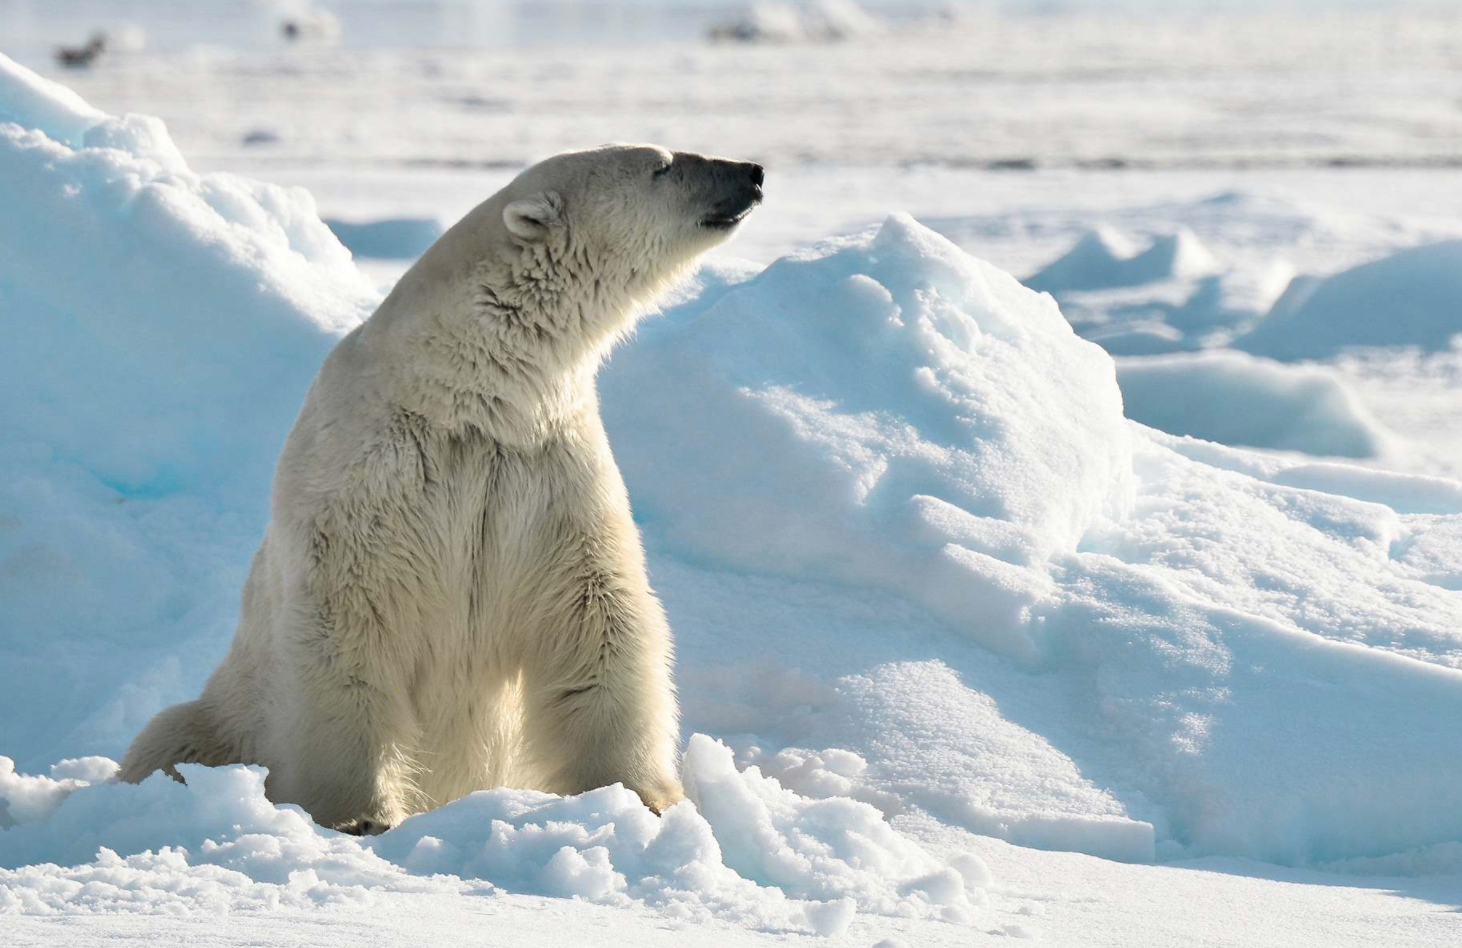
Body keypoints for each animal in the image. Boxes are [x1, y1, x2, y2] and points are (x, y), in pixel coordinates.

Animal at [116, 142, 766, 830]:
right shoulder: (370, 478)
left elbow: (595, 611)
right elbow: (348, 626)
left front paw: (648, 798)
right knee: (169, 737)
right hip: (227, 714)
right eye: (663, 165)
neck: (465, 394)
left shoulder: (546, 470)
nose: (750, 172)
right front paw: (359, 813)